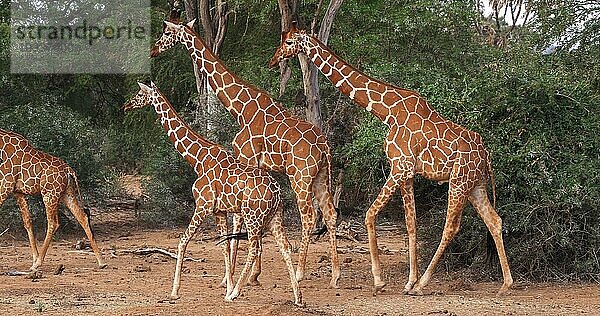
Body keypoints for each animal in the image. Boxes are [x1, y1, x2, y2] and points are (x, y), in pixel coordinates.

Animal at [0, 128, 106, 272]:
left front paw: (35, 260)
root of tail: (69, 170)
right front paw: (34, 257)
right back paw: (101, 261)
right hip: (67, 194)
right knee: (82, 216)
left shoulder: (6, 185)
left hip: (49, 194)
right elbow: (27, 222)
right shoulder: (18, 192)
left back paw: (38, 263)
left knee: (53, 223)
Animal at [123, 82, 300, 306]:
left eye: (140, 93)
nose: (126, 106)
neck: (198, 159)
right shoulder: (219, 211)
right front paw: (227, 287)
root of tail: (277, 192)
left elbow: (183, 241)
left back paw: (235, 295)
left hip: (253, 216)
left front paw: (175, 291)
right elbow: (224, 246)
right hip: (274, 216)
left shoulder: (202, 205)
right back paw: (298, 297)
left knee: (254, 248)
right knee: (284, 246)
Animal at [149, 18, 340, 288]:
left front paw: (239, 276)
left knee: (309, 216)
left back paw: (300, 273)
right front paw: (249, 274)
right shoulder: (256, 167)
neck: (240, 108)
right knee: (330, 213)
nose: (153, 50)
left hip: (300, 177)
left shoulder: (246, 158)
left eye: (166, 32)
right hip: (322, 175)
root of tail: (324, 146)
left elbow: (238, 218)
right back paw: (335, 275)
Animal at [270, 23, 512, 296]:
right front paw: (408, 281)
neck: (387, 111)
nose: (273, 59)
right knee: (494, 220)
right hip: (475, 184)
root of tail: (486, 155)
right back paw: (505, 284)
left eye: (289, 42)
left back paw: (424, 284)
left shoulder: (399, 167)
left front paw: (381, 280)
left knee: (451, 226)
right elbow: (411, 223)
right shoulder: (407, 173)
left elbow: (369, 215)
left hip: (459, 182)